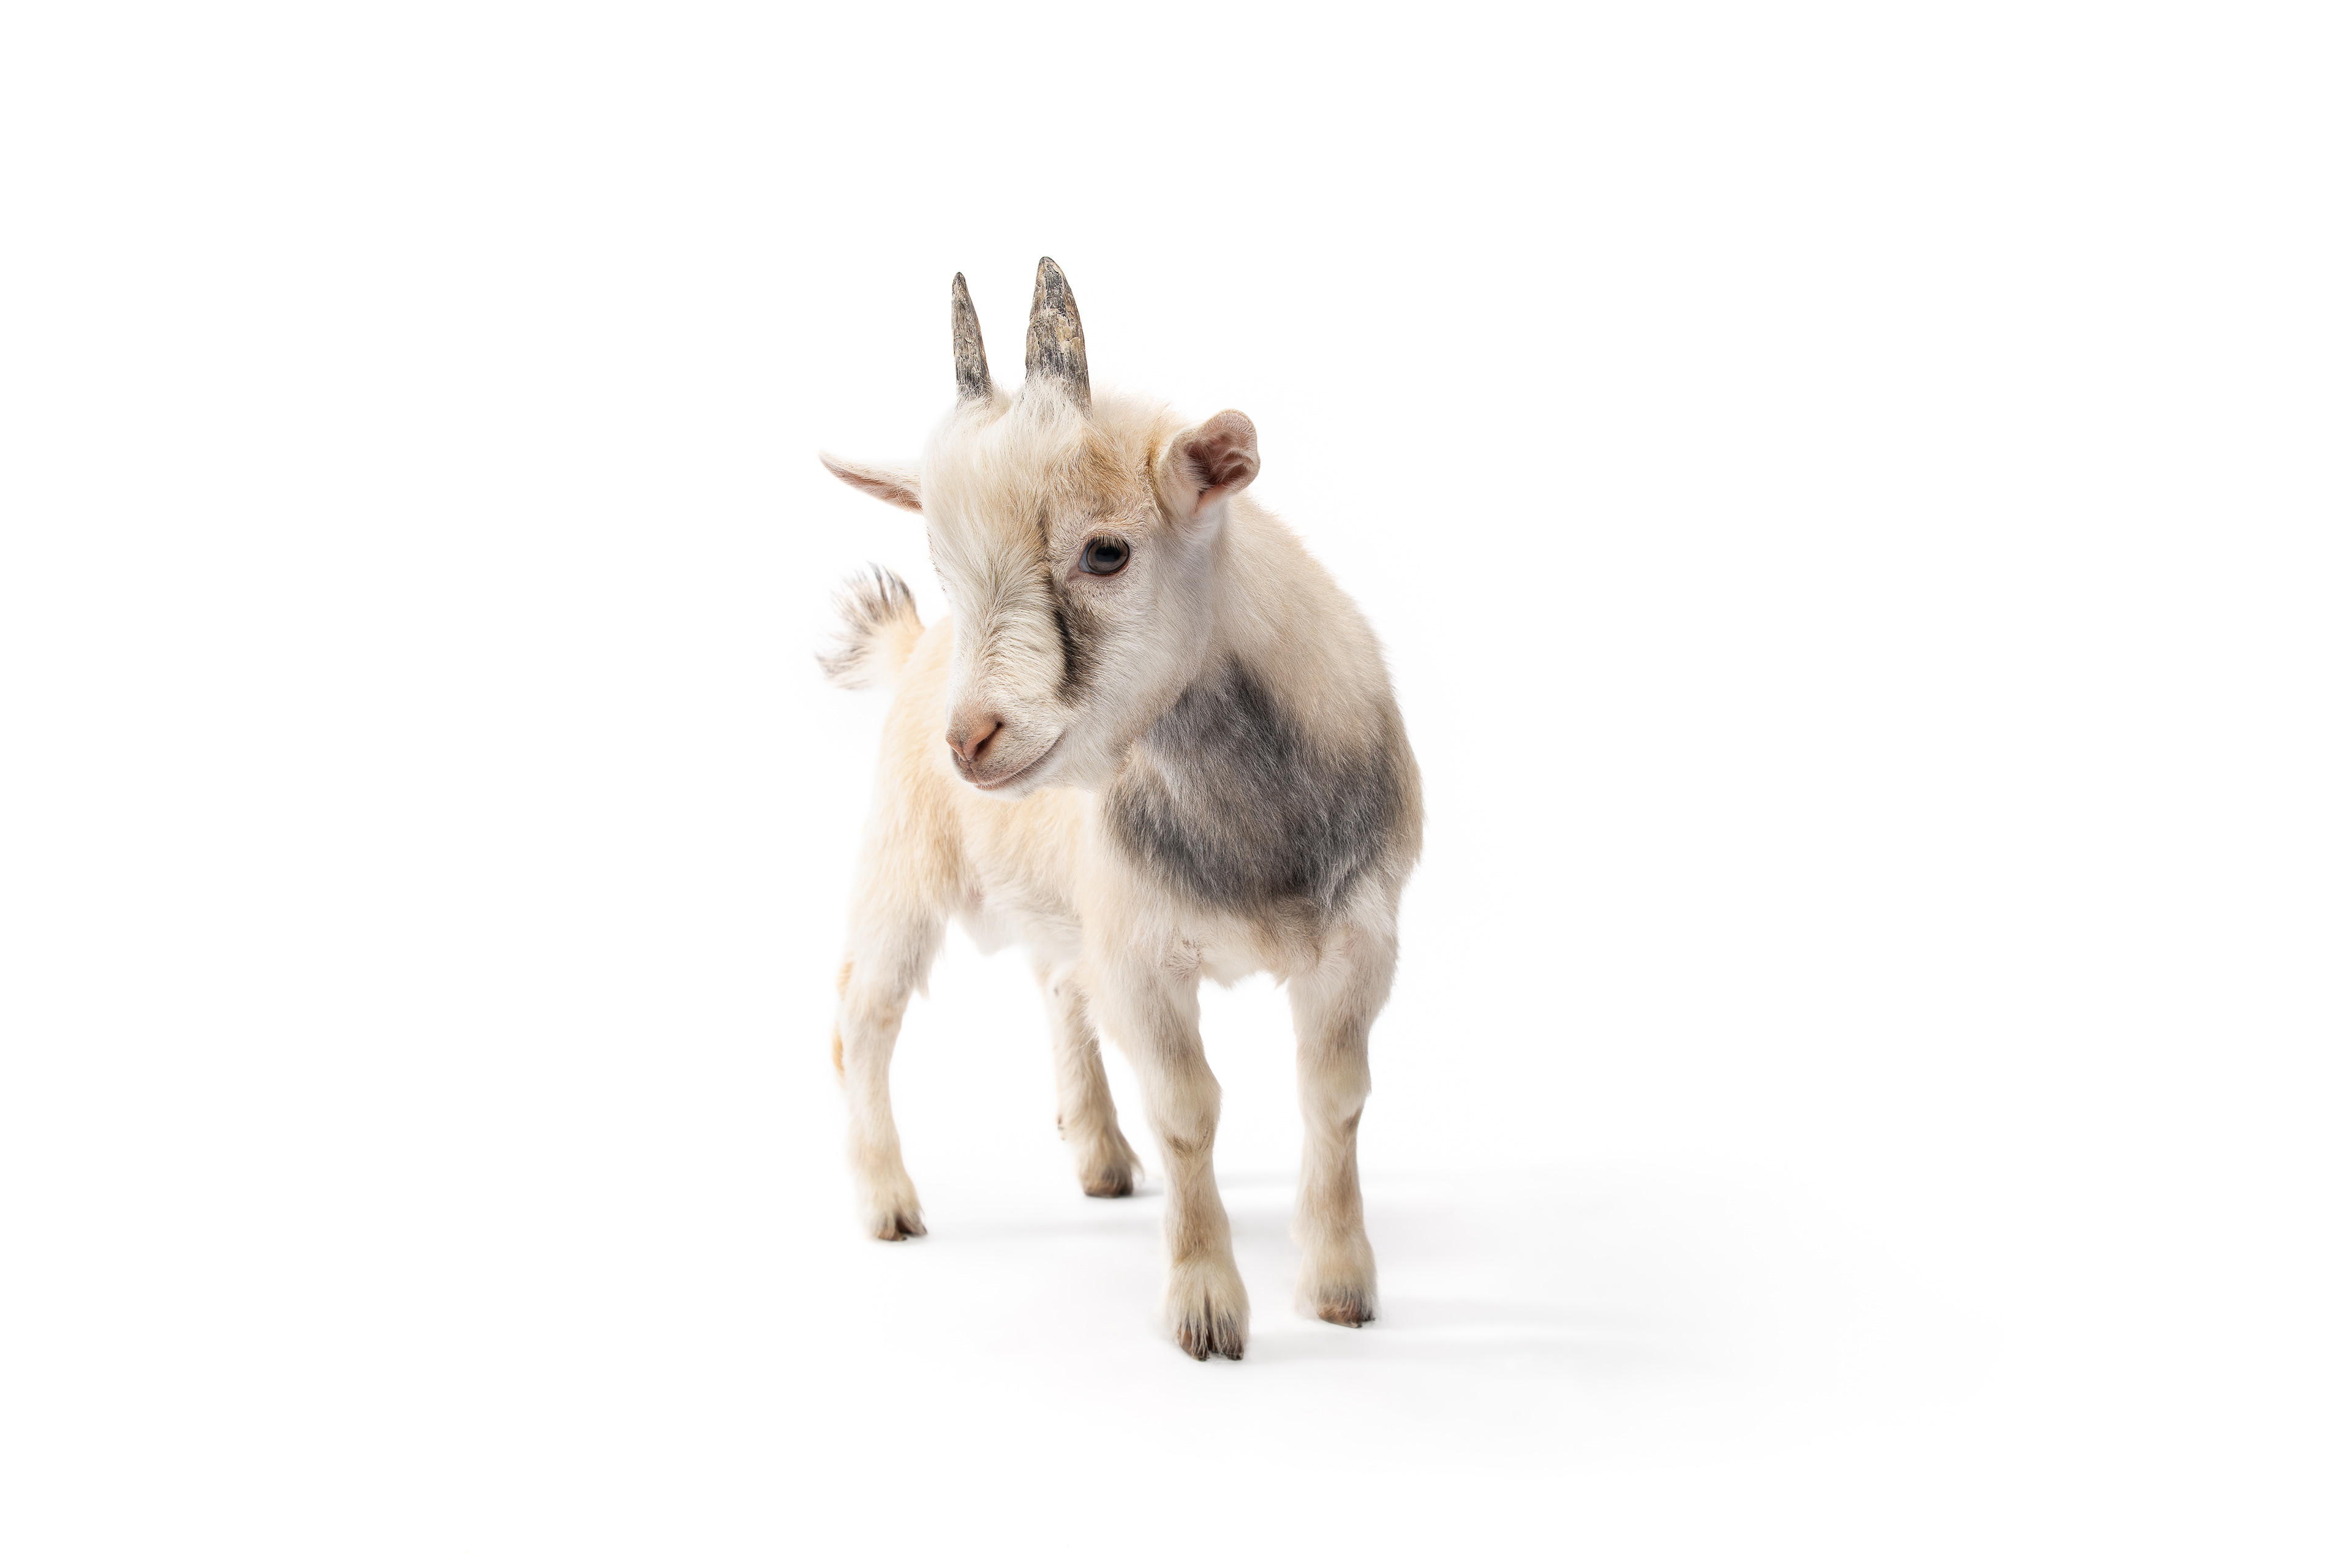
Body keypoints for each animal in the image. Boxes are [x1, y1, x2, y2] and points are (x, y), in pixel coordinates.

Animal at [817, 259, 1422, 1360]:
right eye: (943, 565)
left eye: (1106, 552)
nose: (971, 740)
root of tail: (914, 654)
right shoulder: (1142, 955)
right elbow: (1187, 1110)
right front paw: (1207, 1310)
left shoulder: (1361, 940)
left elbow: (1336, 1099)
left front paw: (1340, 1288)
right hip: (900, 873)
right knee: (864, 1018)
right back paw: (888, 1205)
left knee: (1058, 986)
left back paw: (1099, 1157)